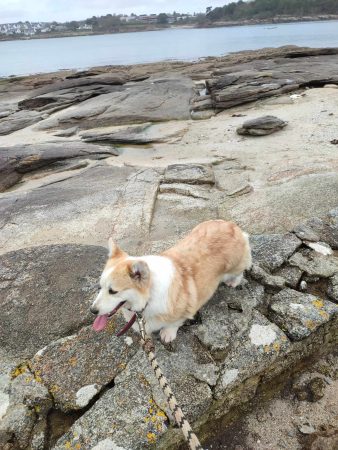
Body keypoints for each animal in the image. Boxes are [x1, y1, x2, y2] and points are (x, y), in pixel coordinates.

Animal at [90, 220, 251, 342]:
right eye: (100, 287)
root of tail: (233, 226)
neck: (148, 296)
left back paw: (234, 282)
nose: (92, 311)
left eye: (113, 291)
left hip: (235, 265)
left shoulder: (185, 310)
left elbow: (174, 323)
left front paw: (168, 334)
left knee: (240, 271)